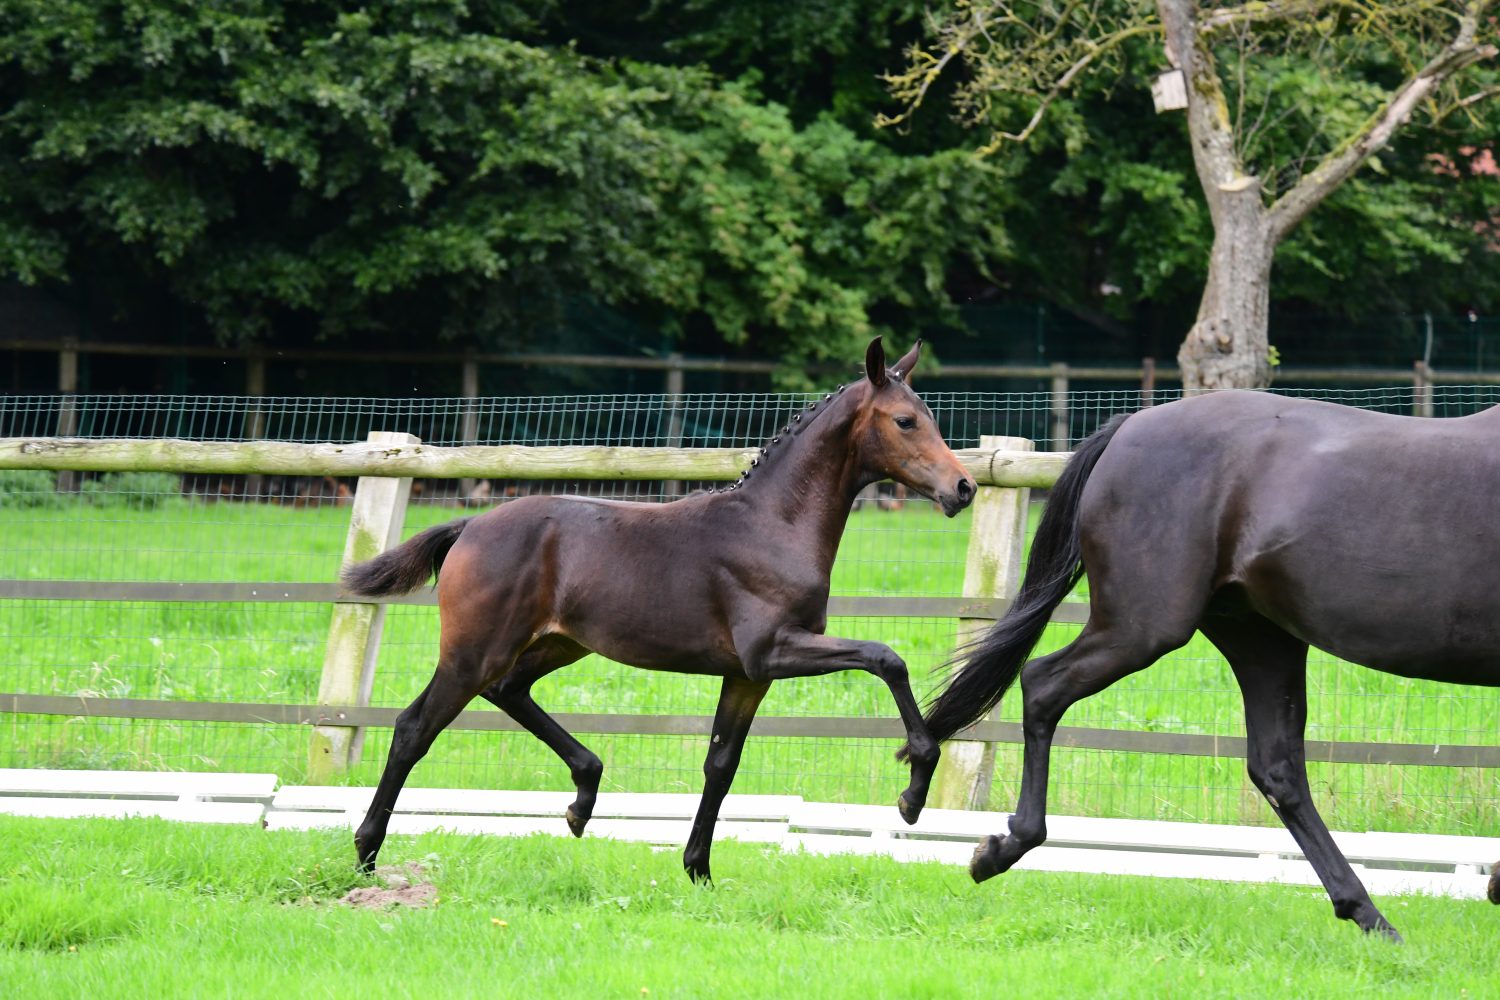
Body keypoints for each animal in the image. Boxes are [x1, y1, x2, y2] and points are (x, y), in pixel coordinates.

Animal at [342, 338, 978, 881]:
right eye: (905, 421)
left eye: (930, 416)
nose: (964, 488)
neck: (772, 525)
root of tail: (470, 525)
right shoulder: (772, 652)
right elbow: (886, 658)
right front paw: (914, 788)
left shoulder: (746, 676)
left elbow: (721, 766)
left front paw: (698, 870)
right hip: (473, 652)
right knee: (414, 729)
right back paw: (367, 854)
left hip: (556, 644)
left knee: (509, 692)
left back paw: (583, 797)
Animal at [912, 389, 1500, 941]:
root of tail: (1130, 426)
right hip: (1146, 626)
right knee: (1041, 684)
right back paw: (1002, 847)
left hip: (1260, 639)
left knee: (1278, 768)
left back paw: (1368, 915)